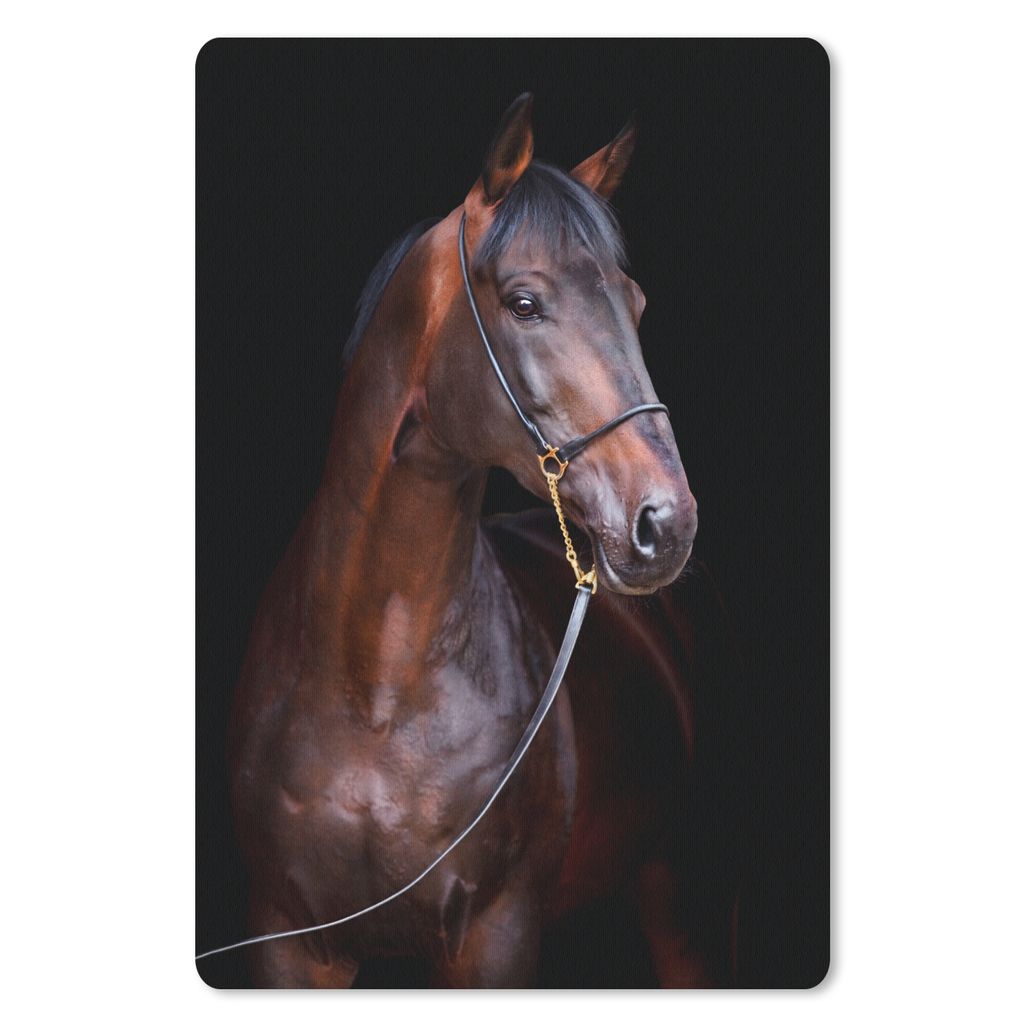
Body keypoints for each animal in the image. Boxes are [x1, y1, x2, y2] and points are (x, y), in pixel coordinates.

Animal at [226, 93, 738, 987]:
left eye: (635, 303)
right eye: (525, 303)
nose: (666, 524)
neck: (377, 690)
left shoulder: (497, 935)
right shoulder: (287, 937)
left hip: (683, 889)